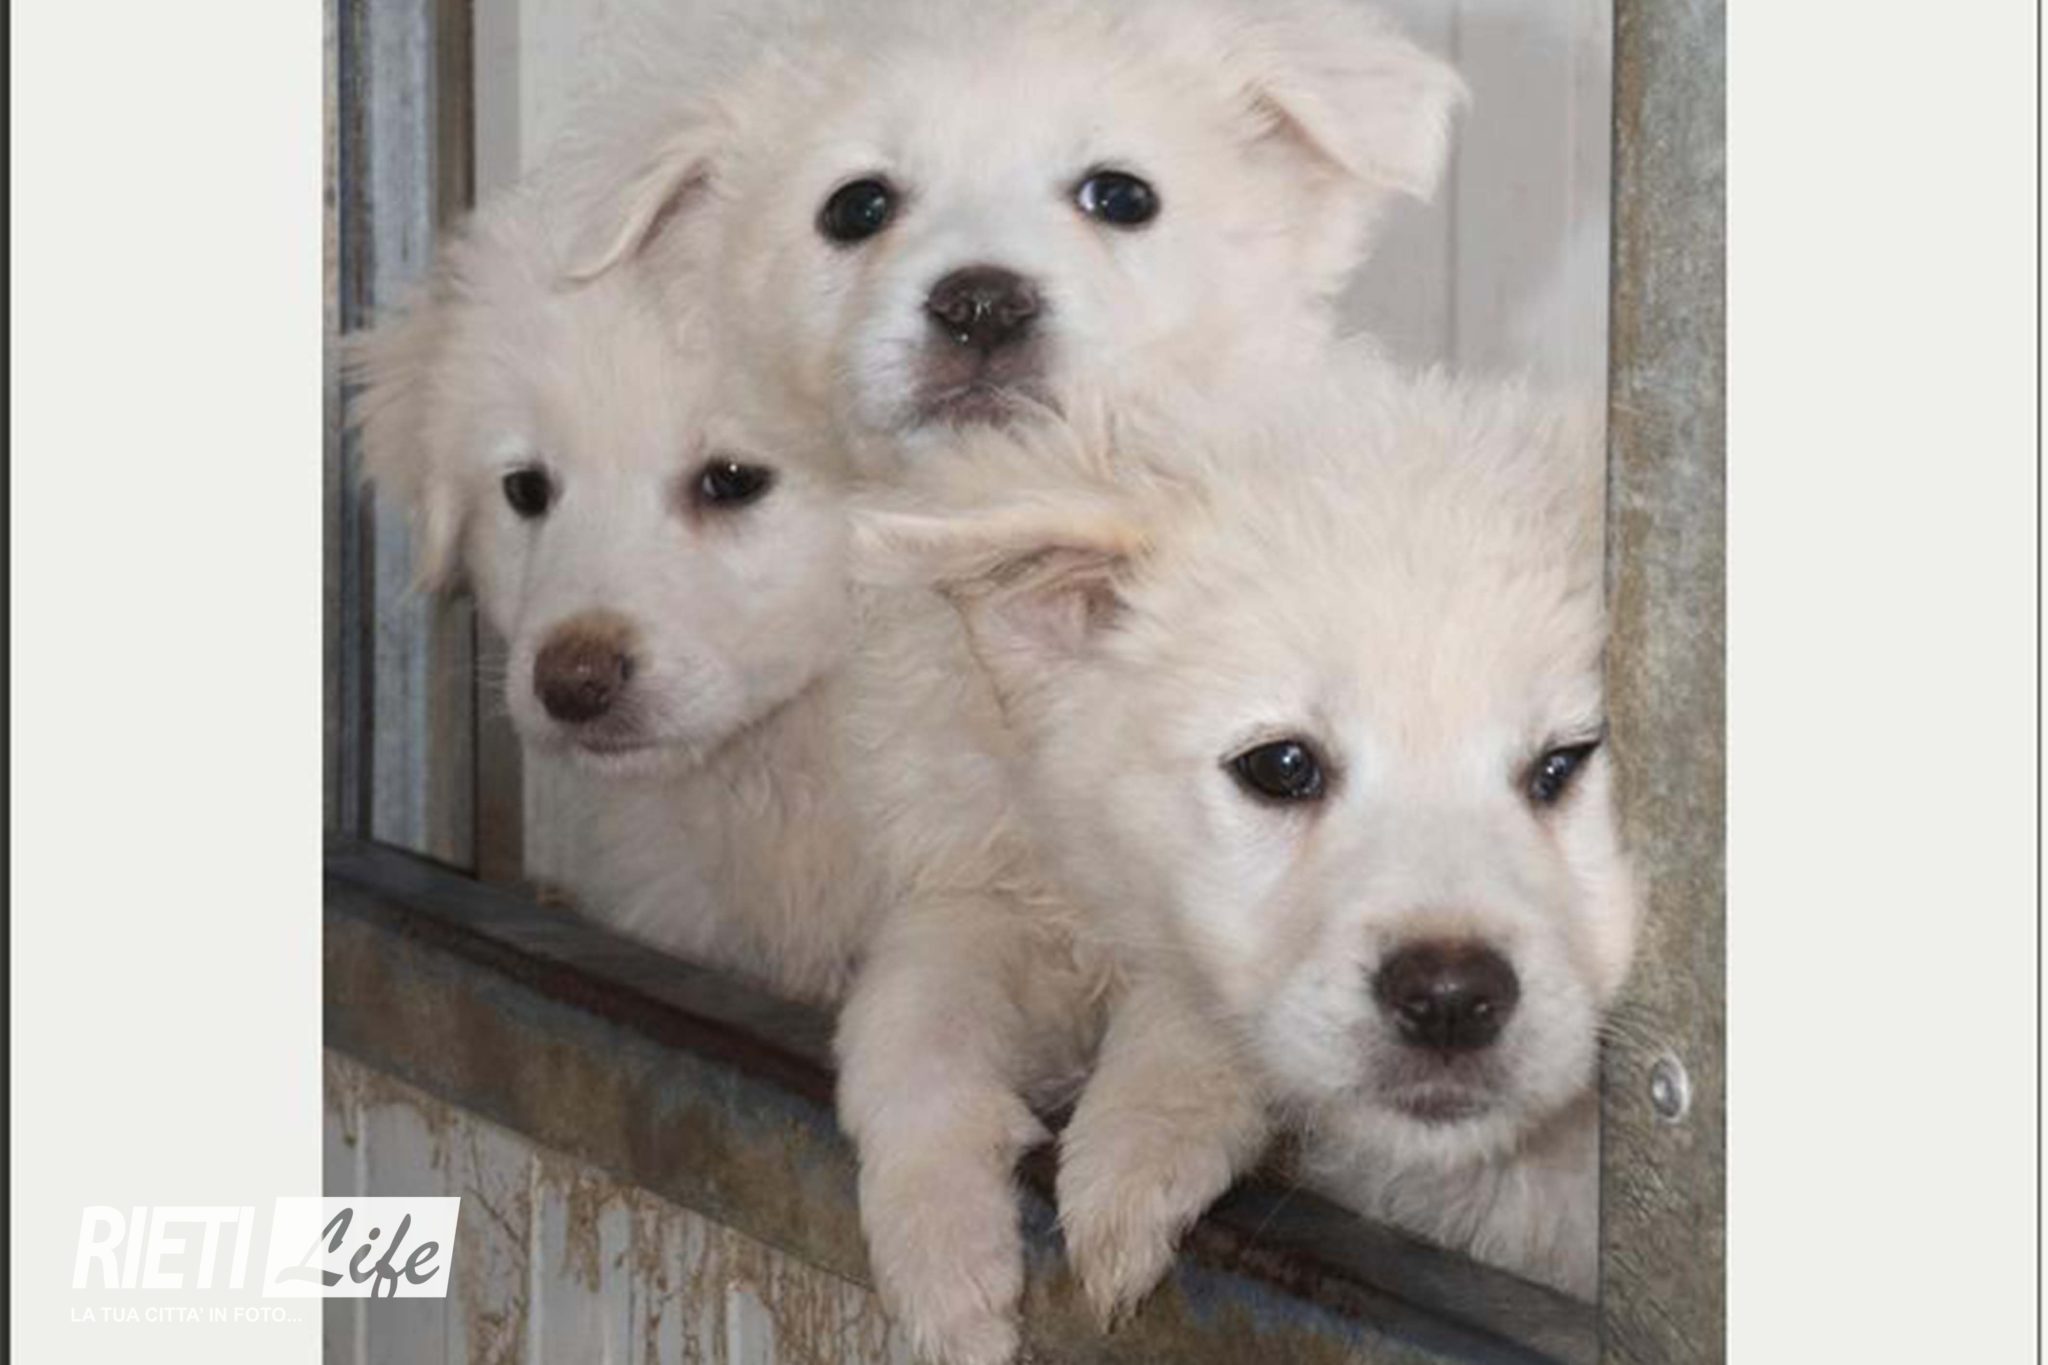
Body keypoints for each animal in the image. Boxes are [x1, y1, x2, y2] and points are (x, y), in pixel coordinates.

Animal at [838, 353, 1637, 1362]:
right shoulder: (1020, 875)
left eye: (1563, 764)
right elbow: (910, 1014)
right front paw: (943, 1255)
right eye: (1283, 767)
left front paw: (1127, 1159)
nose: (1452, 999)